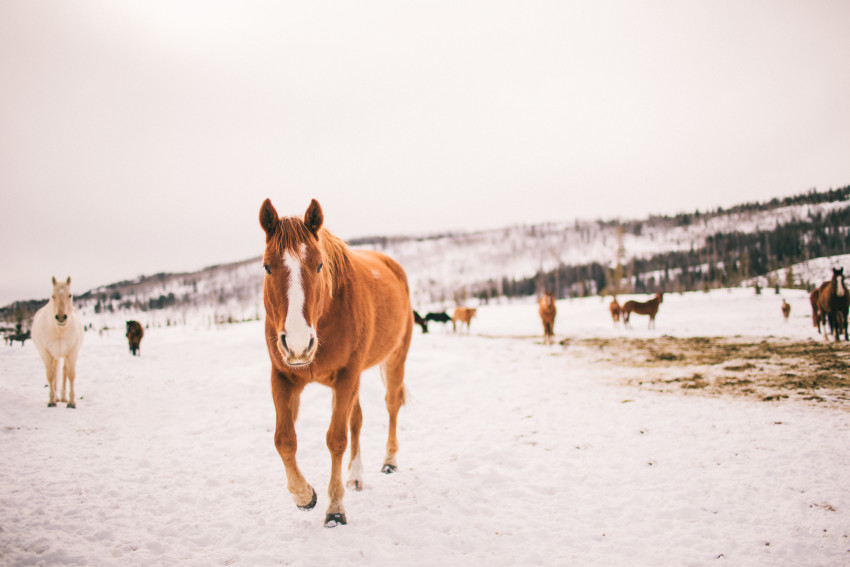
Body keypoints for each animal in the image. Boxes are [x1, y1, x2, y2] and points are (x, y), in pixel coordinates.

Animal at [31, 276, 84, 406]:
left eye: (70, 295)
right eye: (53, 296)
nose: (60, 317)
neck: (59, 330)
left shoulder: (72, 352)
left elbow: (71, 375)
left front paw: (71, 402)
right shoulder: (46, 353)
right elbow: (51, 375)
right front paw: (51, 401)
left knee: (64, 371)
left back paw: (63, 398)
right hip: (53, 355)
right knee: (54, 371)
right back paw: (56, 397)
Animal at [256, 200, 412, 528]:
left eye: (318, 265)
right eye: (267, 266)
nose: (299, 343)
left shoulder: (346, 377)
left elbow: (336, 439)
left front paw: (335, 509)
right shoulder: (283, 377)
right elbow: (284, 440)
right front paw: (304, 495)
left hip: (395, 359)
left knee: (392, 404)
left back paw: (389, 461)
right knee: (357, 419)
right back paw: (356, 476)